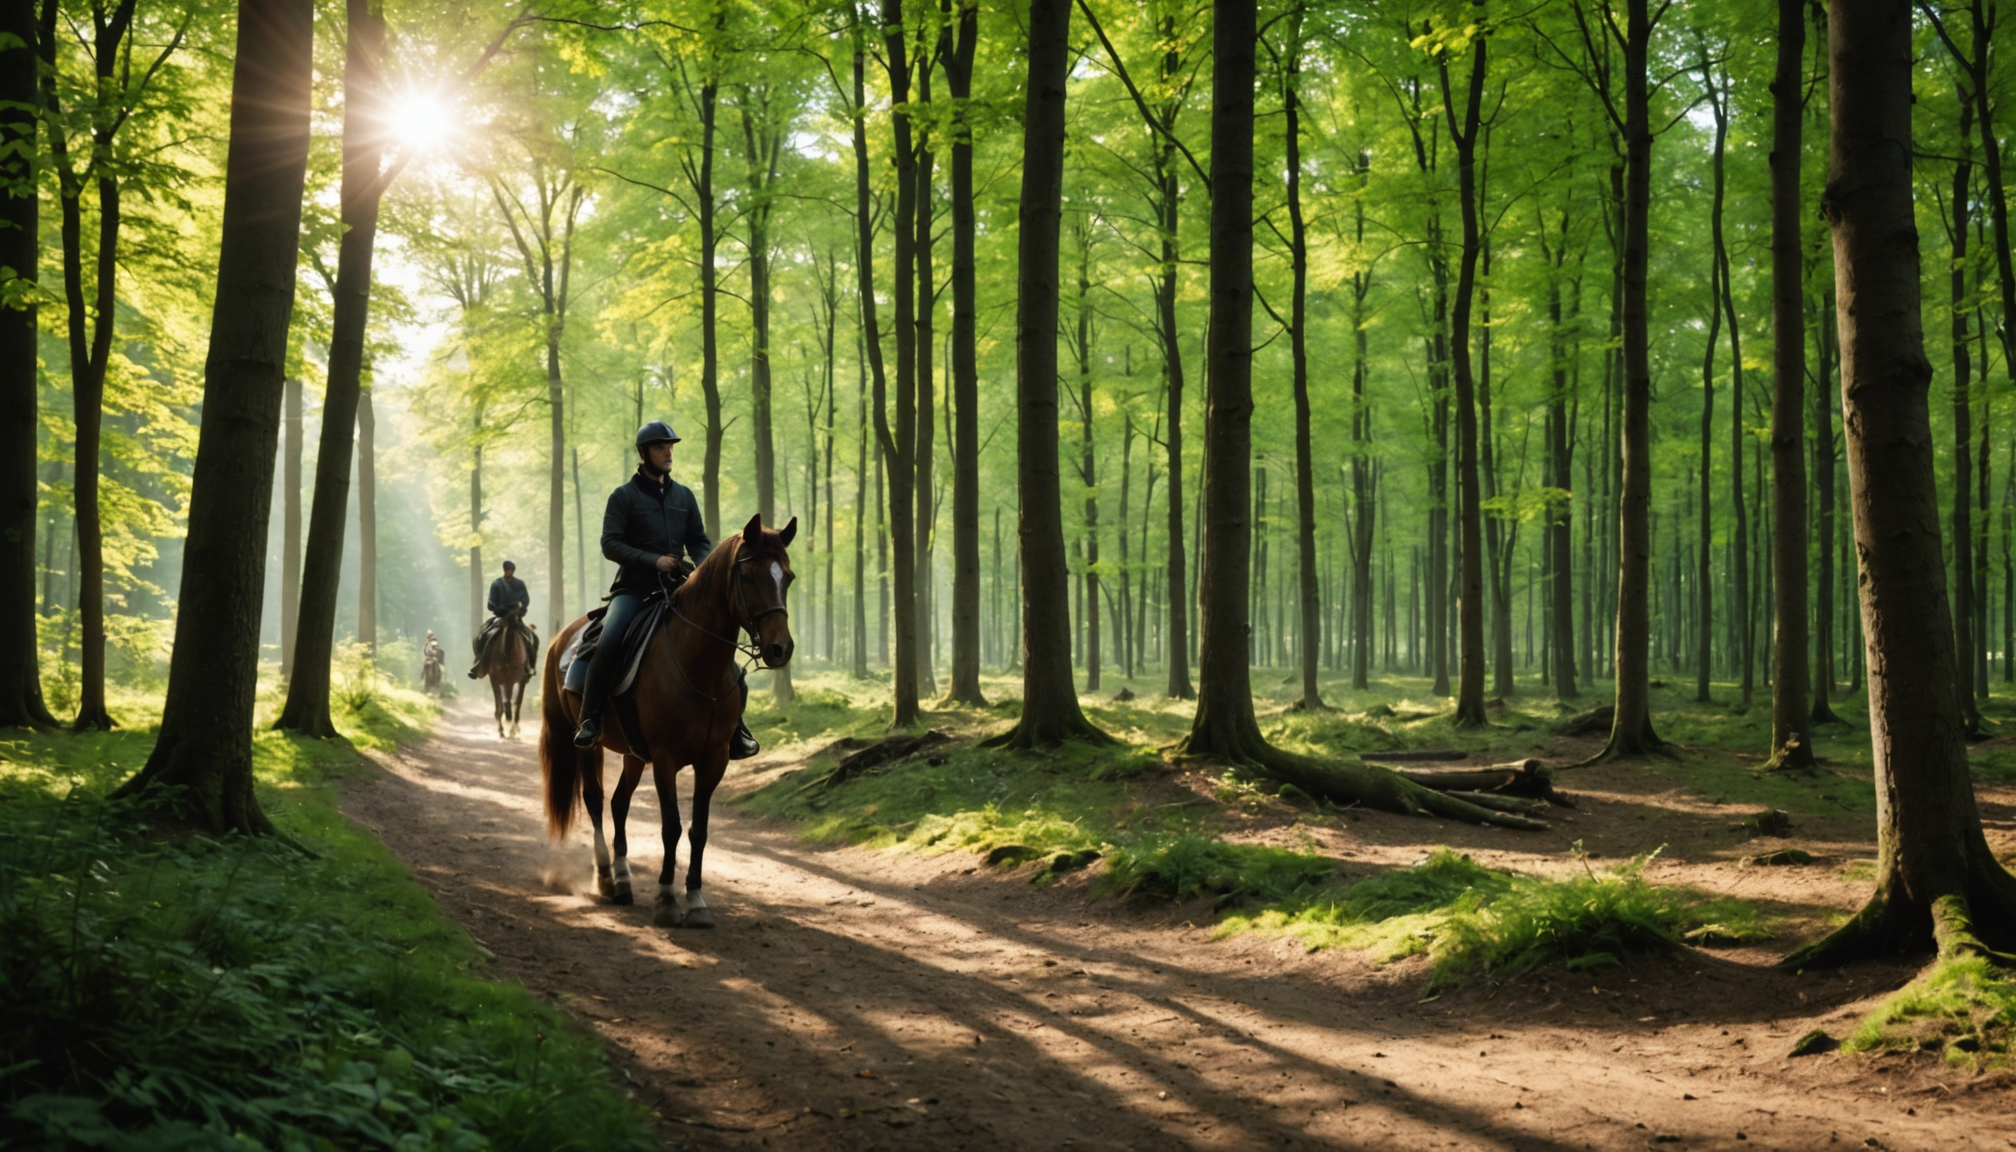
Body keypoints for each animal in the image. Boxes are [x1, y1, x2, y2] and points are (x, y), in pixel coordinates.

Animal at [538, 512, 796, 929]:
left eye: (787, 577)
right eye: (749, 576)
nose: (780, 649)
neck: (699, 667)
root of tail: (564, 636)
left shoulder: (713, 761)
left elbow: (699, 830)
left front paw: (697, 902)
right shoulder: (665, 760)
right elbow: (671, 827)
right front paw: (666, 900)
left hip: (633, 754)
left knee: (618, 804)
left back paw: (624, 881)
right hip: (588, 744)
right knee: (595, 800)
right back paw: (606, 876)